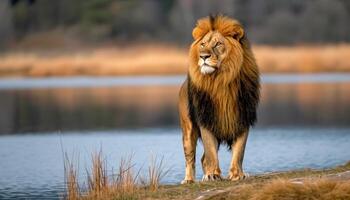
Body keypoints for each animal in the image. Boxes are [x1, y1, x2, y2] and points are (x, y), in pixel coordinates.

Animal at [179, 15, 258, 184]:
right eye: (202, 44)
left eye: (218, 44)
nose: (203, 56)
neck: (221, 81)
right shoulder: (206, 119)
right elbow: (210, 152)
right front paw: (212, 175)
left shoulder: (242, 118)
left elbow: (239, 152)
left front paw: (238, 174)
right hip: (188, 130)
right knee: (190, 158)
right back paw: (189, 179)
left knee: (203, 158)